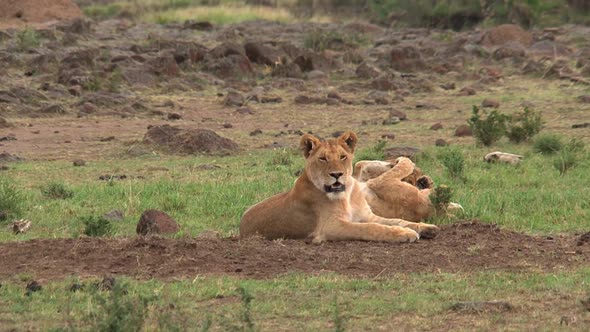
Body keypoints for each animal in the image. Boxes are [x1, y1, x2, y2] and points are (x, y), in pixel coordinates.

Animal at [240, 131, 440, 243]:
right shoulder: (330, 227)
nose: (337, 174)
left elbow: (396, 221)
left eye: (343, 156)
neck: (347, 194)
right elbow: (371, 229)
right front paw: (404, 234)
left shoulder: (367, 215)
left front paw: (425, 228)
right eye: (323, 158)